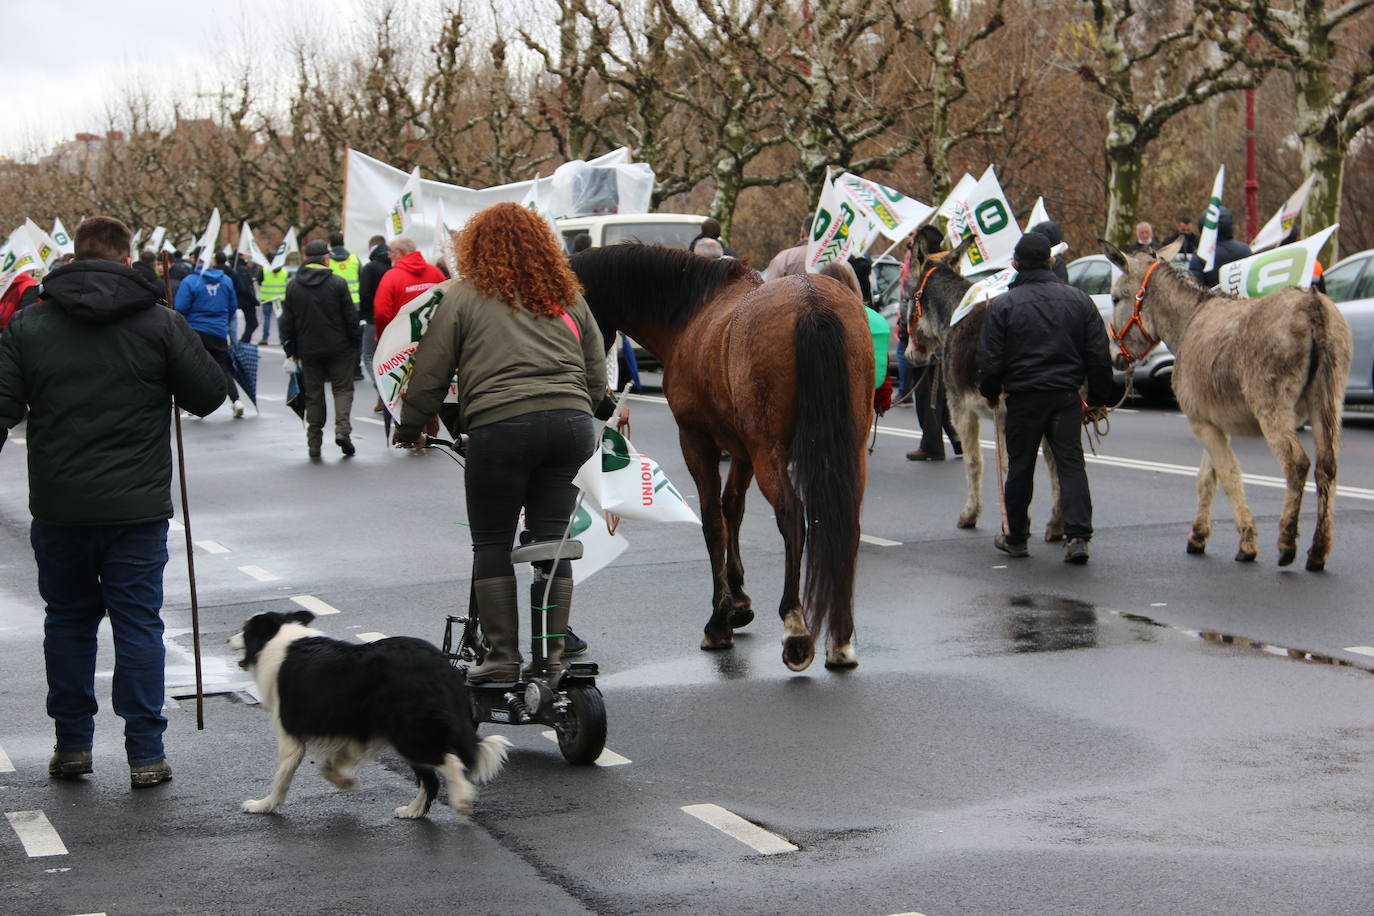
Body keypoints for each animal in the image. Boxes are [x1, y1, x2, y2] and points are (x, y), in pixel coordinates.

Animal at [230, 612, 511, 818]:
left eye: (245, 629)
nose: (228, 639)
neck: (279, 639)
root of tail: (440, 663)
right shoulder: (352, 730)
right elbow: (327, 765)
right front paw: (345, 782)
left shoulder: (290, 733)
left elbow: (282, 776)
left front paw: (263, 805)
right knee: (430, 779)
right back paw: (413, 811)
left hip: (408, 730)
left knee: (448, 761)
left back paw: (460, 798)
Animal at [568, 247, 868, 670]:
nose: (597, 398)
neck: (692, 313)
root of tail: (812, 302)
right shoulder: (741, 452)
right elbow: (732, 509)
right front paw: (738, 601)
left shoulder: (698, 442)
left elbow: (712, 519)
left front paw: (719, 619)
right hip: (846, 450)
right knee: (845, 522)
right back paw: (840, 638)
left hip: (770, 452)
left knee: (793, 515)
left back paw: (795, 626)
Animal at [1104, 238, 1352, 565]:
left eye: (1115, 298)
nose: (1115, 358)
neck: (1188, 321)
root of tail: (1313, 306)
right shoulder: (1214, 421)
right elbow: (1208, 478)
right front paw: (1198, 536)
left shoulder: (1200, 421)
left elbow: (1228, 474)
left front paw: (1246, 543)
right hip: (1328, 400)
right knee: (1327, 467)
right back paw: (1319, 551)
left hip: (1272, 407)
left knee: (1296, 463)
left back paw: (1287, 544)